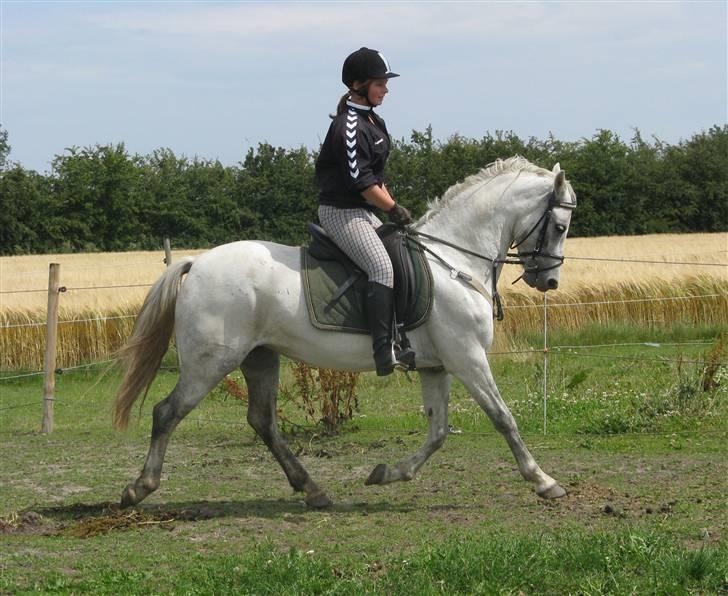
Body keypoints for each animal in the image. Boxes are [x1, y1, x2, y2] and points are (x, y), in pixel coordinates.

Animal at [114, 156, 577, 509]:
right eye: (560, 226)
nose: (549, 282)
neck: (453, 260)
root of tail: (196, 263)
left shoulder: (438, 366)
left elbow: (438, 431)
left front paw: (388, 472)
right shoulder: (467, 357)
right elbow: (503, 417)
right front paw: (544, 481)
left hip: (260, 356)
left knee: (262, 421)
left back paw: (312, 490)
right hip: (212, 360)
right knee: (167, 412)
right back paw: (139, 489)